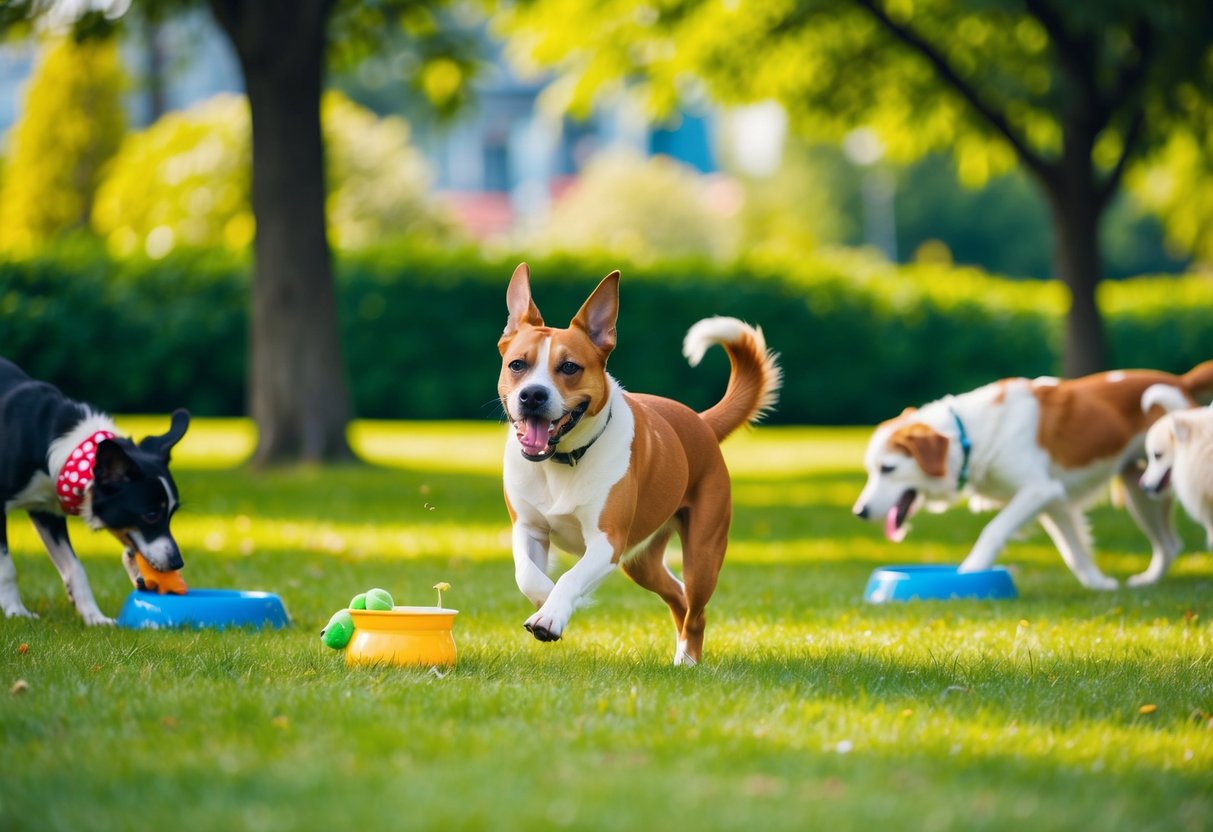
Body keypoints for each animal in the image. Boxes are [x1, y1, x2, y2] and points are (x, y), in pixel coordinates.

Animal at [0, 358, 189, 625]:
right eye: (151, 515)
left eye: (172, 513)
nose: (177, 562)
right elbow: (7, 568)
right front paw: (16, 611)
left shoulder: (46, 511)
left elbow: (76, 568)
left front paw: (94, 617)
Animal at [497, 264, 781, 669]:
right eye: (518, 365)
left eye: (569, 367)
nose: (533, 395)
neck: (562, 460)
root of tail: (701, 422)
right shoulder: (528, 529)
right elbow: (528, 575)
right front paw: (547, 603)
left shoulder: (608, 542)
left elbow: (571, 577)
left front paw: (552, 614)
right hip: (642, 562)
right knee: (678, 595)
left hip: (703, 553)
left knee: (696, 610)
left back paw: (688, 661)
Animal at [853, 363, 1213, 594]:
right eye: (871, 470)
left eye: (887, 469)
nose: (859, 511)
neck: (970, 436)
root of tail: (1180, 381)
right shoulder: (1055, 503)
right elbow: (1074, 551)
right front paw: (1099, 584)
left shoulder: (1039, 491)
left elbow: (993, 530)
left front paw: (970, 571)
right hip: (1143, 488)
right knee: (1169, 545)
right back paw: (1147, 582)